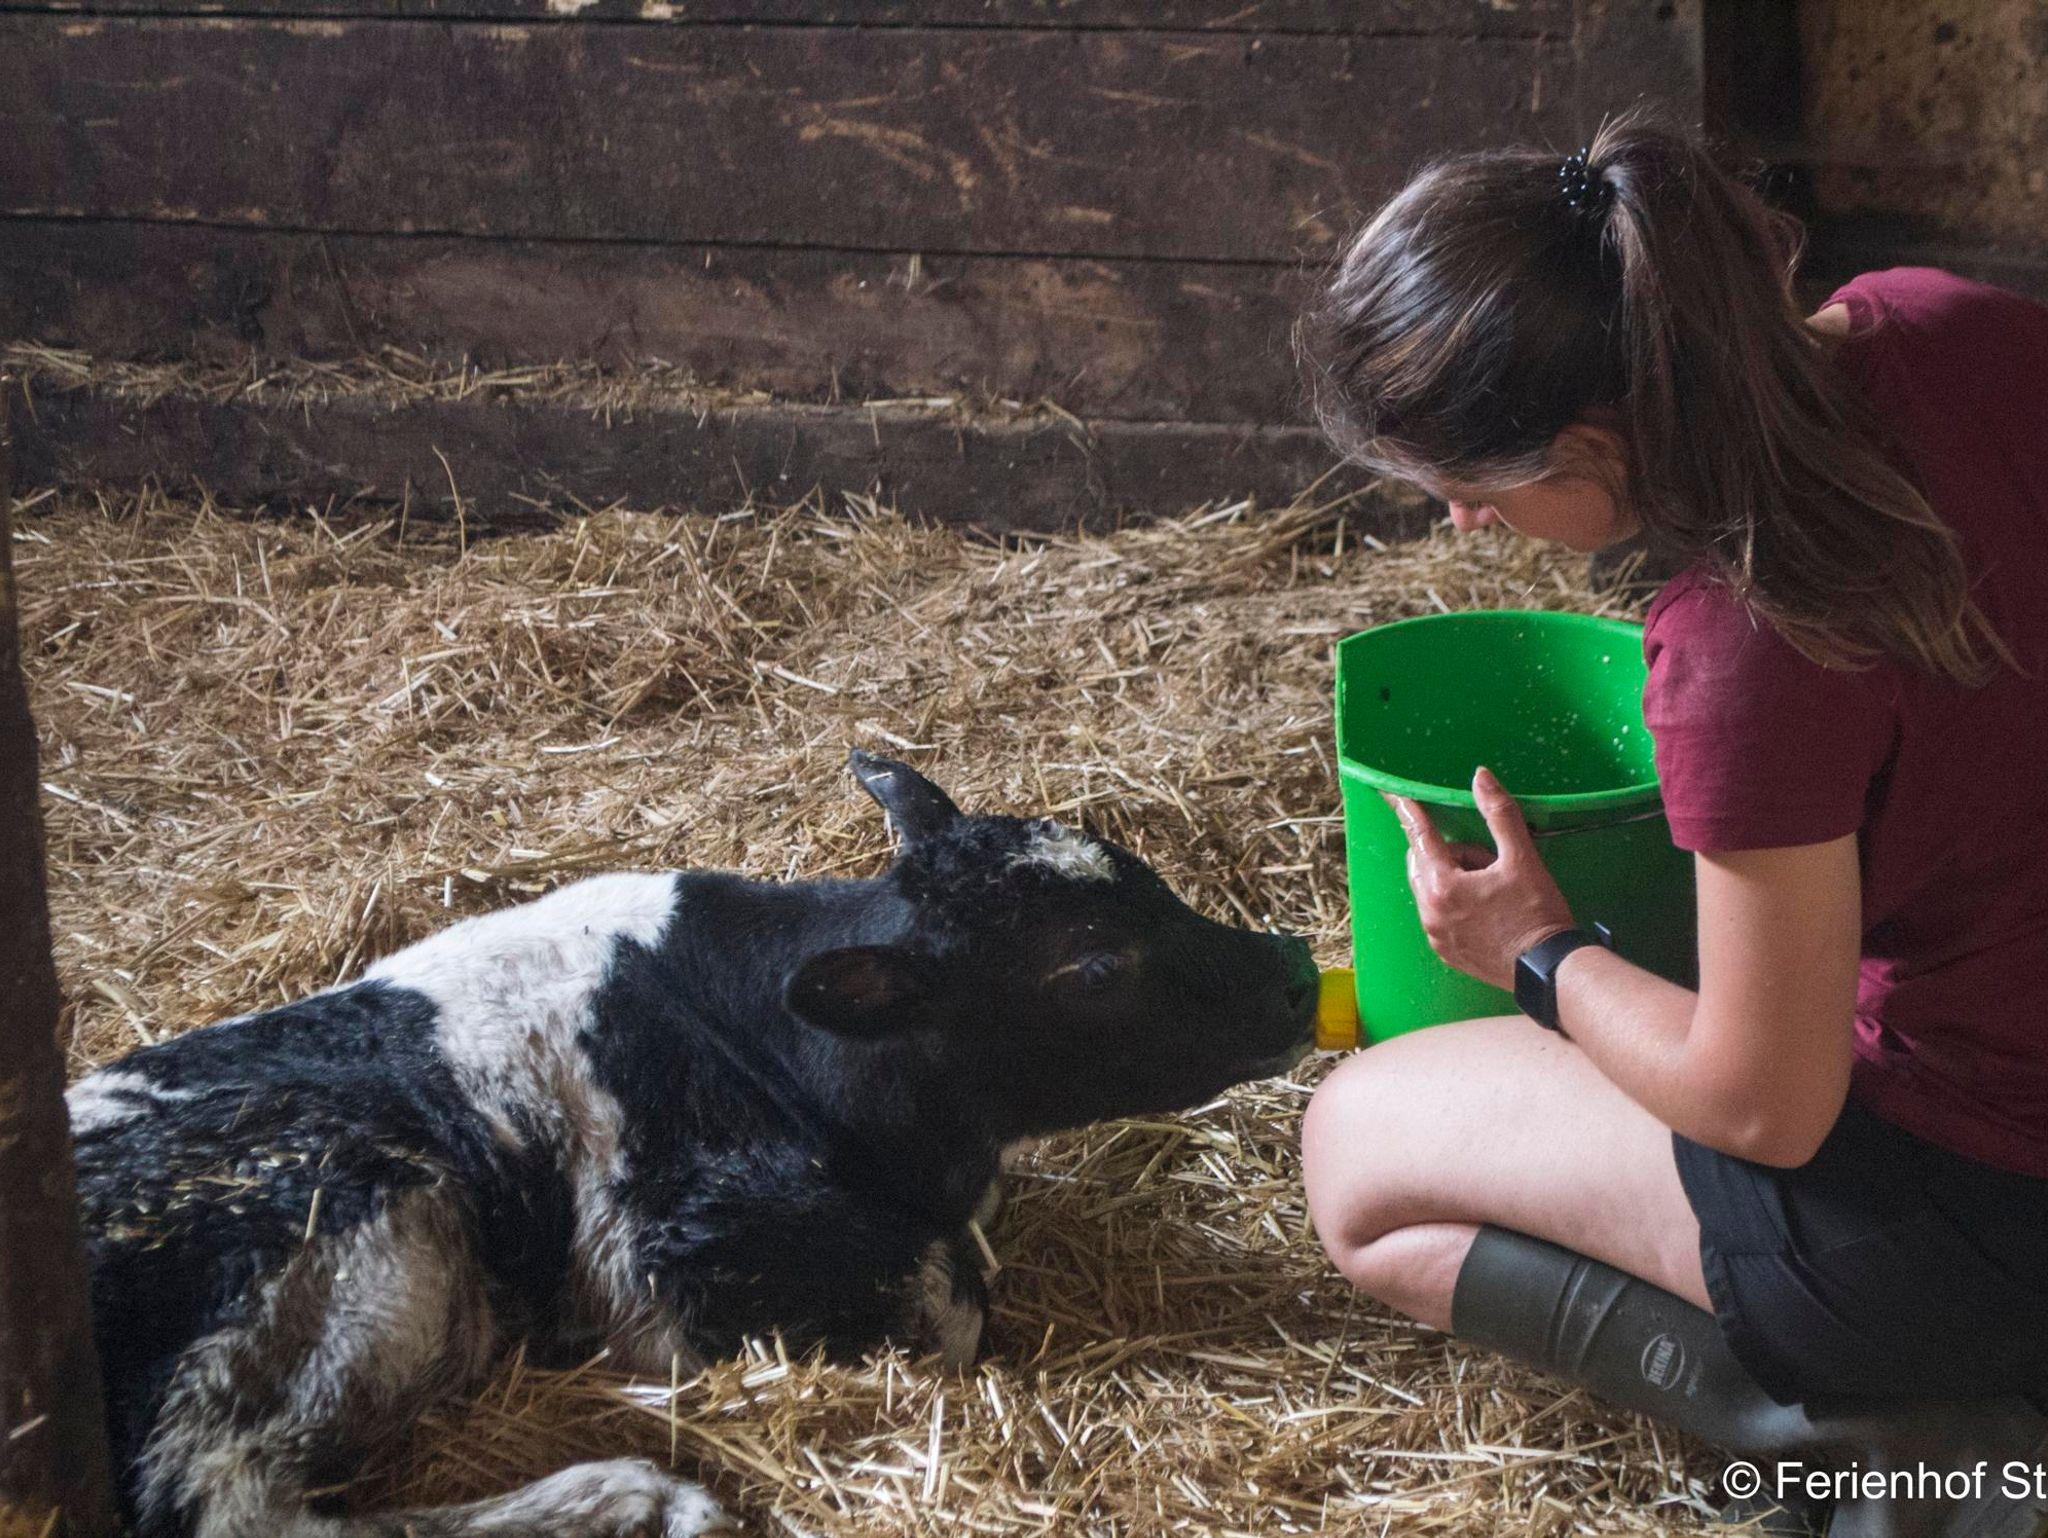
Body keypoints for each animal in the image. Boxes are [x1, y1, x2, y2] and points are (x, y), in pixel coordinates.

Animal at [66, 751, 1319, 1538]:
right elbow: (946, 1294)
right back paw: (629, 1495)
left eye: (1144, 873)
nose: (1298, 970)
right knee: (234, 1509)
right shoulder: (656, 1261)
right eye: (1095, 966)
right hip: (335, 1226)